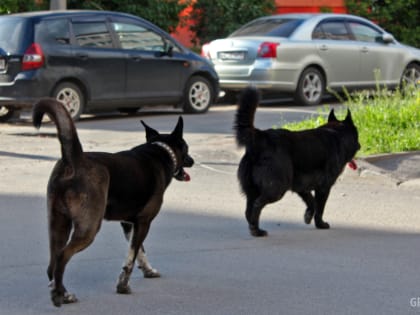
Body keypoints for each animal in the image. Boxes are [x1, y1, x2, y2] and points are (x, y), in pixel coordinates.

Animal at [32, 98, 194, 306]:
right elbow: (131, 257)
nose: (192, 160)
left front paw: (148, 270)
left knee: (52, 263)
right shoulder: (144, 222)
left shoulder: (128, 224)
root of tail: (74, 159)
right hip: (89, 227)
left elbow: (139, 252)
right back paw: (60, 296)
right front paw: (123, 286)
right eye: (187, 149)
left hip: (58, 223)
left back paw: (62, 292)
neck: (160, 151)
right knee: (62, 257)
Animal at [235, 87, 360, 237]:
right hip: (276, 189)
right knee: (257, 205)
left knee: (248, 210)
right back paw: (256, 230)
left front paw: (308, 216)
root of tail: (261, 137)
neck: (336, 133)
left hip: (253, 190)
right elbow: (319, 208)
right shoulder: (324, 188)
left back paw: (253, 227)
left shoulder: (302, 187)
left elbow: (311, 202)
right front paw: (320, 224)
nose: (360, 145)